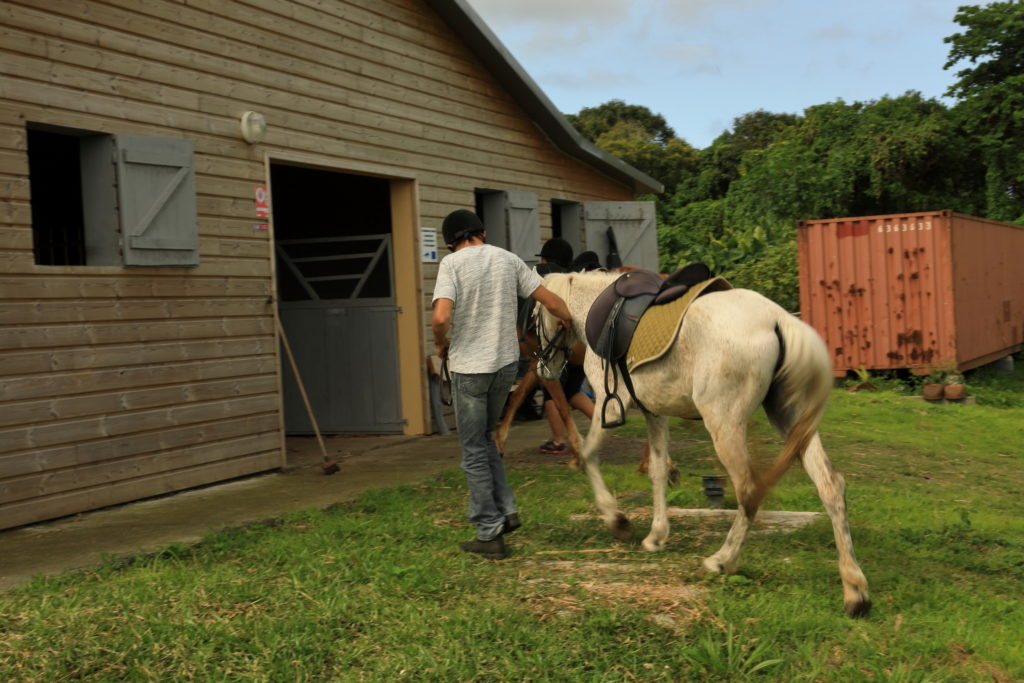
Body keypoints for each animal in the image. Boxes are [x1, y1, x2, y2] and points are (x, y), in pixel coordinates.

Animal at [533, 270, 871, 617]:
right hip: (792, 421)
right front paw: (656, 536)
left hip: (724, 424)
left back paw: (720, 561)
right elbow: (657, 472)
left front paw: (618, 520)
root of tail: (779, 320)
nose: (544, 369)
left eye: (533, 317)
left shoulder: (609, 406)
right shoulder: (655, 414)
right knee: (830, 486)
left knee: (750, 490)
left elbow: (588, 456)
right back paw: (855, 590)